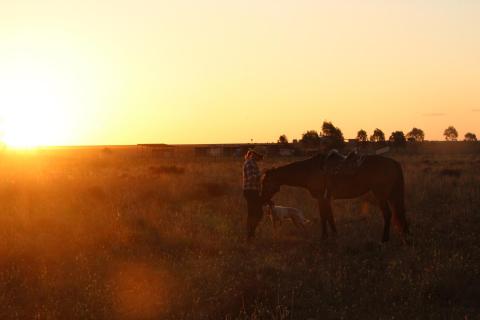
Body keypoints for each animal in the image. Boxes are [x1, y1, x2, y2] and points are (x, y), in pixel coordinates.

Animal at [260, 154, 410, 241]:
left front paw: (324, 237)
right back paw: (405, 235)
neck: (309, 170)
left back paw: (384, 239)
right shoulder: (327, 198)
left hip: (381, 195)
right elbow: (330, 217)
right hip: (392, 195)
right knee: (399, 213)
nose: (262, 199)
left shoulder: (321, 197)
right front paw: (335, 235)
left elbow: (324, 217)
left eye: (265, 182)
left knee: (388, 214)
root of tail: (393, 163)